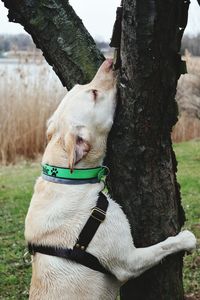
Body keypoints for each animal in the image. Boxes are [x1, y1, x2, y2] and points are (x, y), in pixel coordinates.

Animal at [24, 59, 195, 300]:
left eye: (83, 87)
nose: (110, 62)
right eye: (94, 93)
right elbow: (163, 246)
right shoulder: (128, 262)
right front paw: (185, 239)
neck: (70, 178)